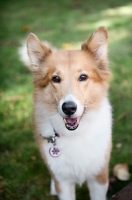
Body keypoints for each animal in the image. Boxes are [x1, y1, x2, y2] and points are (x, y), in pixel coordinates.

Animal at [26, 27, 112, 200]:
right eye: (55, 78)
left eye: (83, 77)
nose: (69, 108)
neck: (75, 134)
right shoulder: (63, 182)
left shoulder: (99, 177)